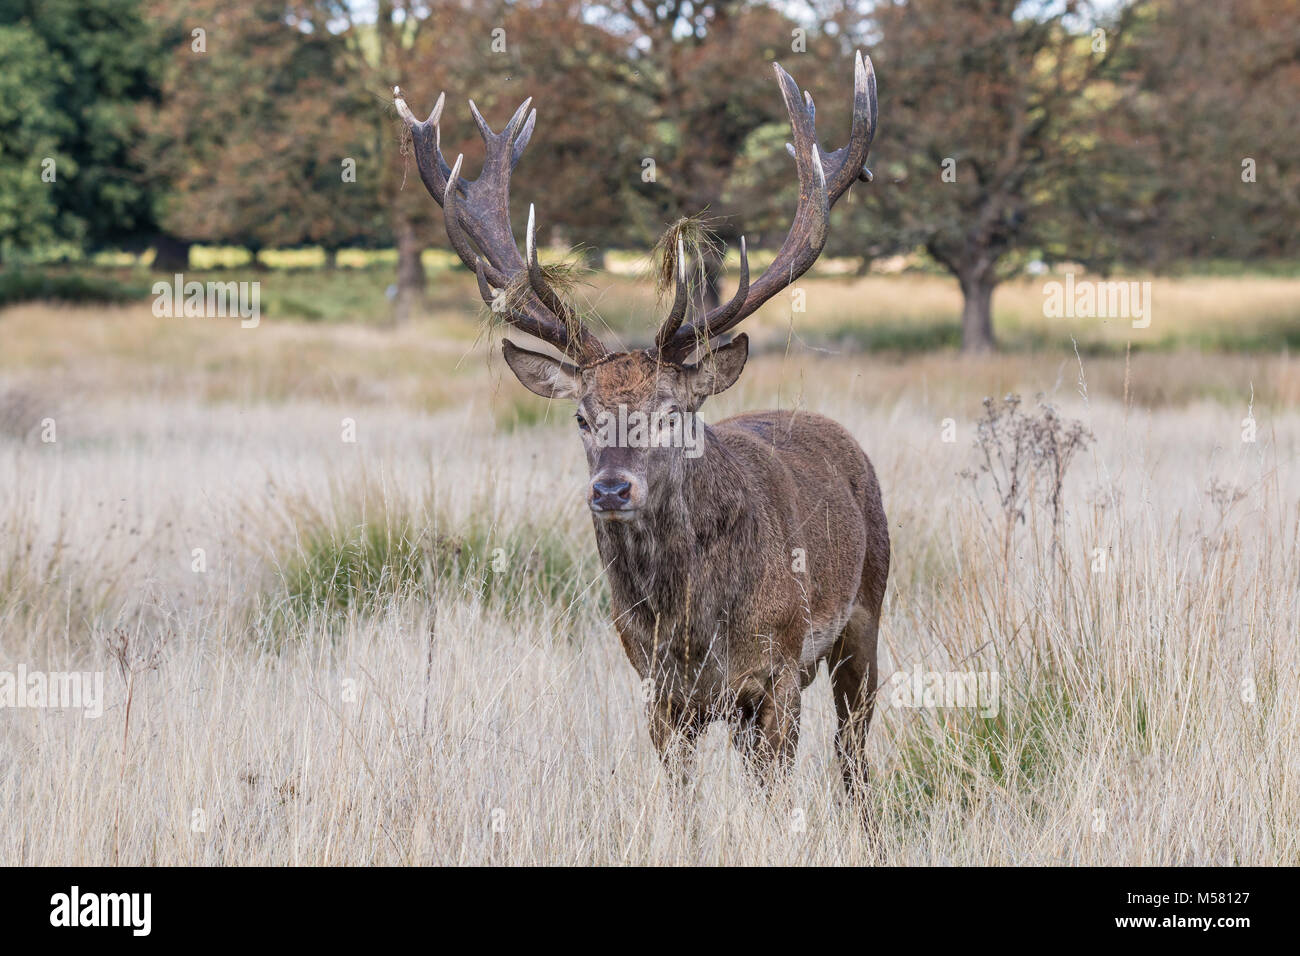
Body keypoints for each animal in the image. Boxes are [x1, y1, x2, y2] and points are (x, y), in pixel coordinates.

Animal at [394, 51, 887, 794]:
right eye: (581, 415)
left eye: (673, 415)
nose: (611, 490)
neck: (692, 629)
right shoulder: (656, 685)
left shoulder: (778, 671)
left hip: (867, 610)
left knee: (853, 753)